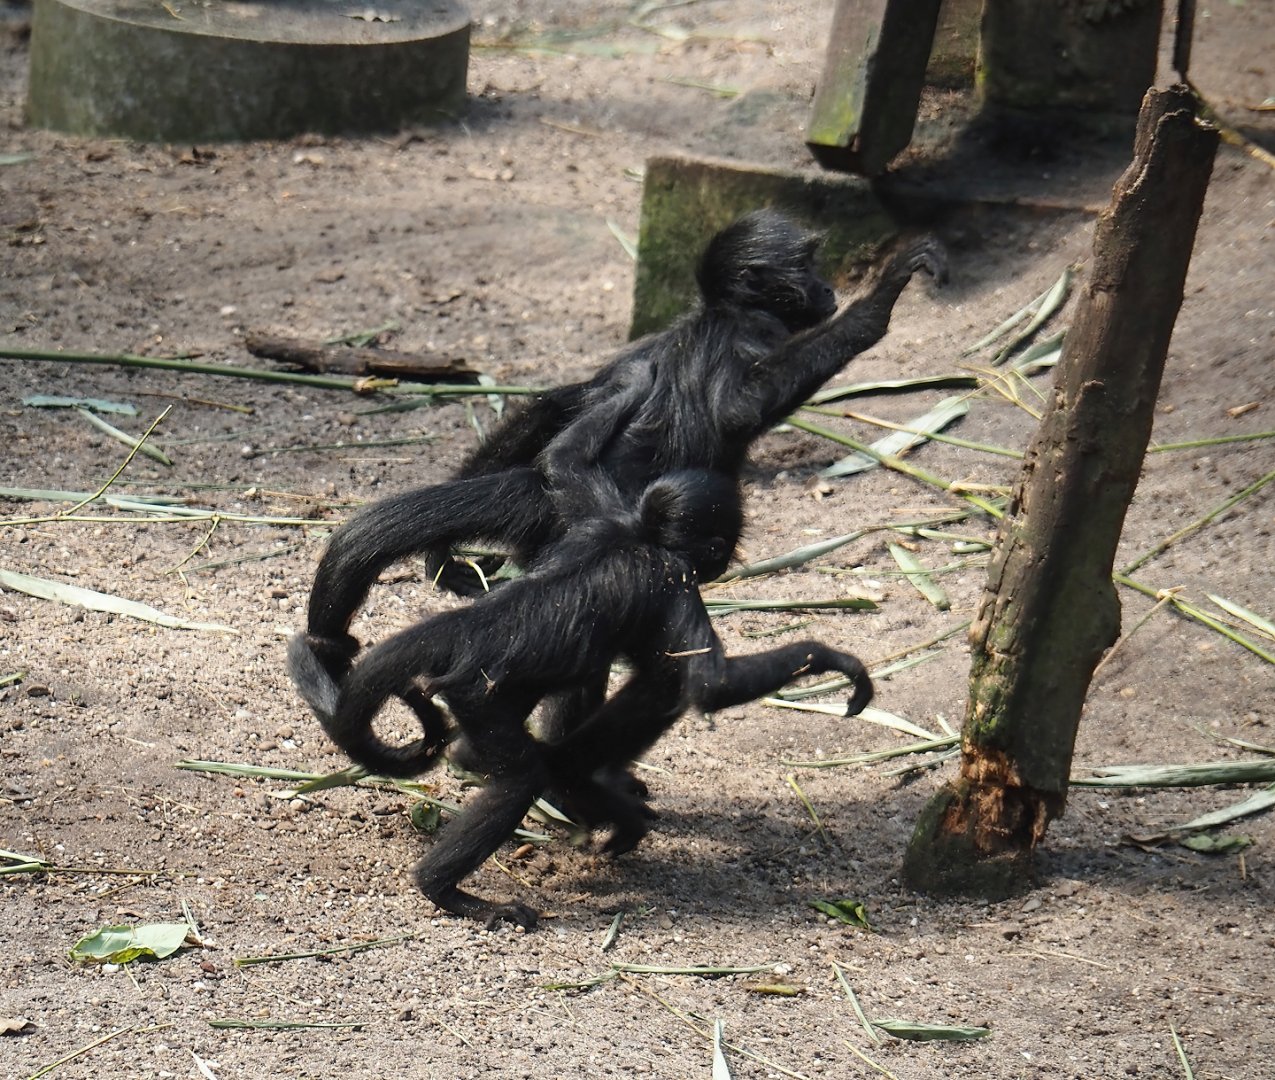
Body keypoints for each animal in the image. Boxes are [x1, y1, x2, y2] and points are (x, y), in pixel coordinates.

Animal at [301, 468, 874, 929]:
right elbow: (709, 686)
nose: (725, 558)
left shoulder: (588, 514)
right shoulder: (673, 577)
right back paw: (450, 887)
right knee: (532, 771)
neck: (636, 531)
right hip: (477, 693)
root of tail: (468, 627)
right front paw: (830, 659)